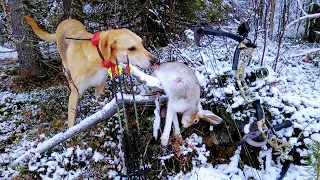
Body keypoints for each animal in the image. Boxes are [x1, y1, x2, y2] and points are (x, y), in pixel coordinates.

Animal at [24, 15, 158, 128]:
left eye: (141, 43)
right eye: (131, 48)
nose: (155, 60)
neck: (97, 60)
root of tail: (66, 20)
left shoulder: (99, 89)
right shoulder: (75, 94)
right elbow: (71, 122)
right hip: (65, 68)